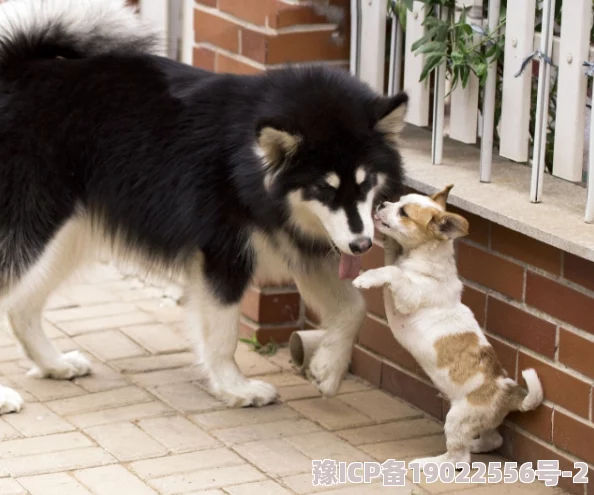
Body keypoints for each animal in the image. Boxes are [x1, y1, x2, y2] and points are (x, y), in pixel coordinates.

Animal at [0, 0, 404, 410]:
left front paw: (328, 368)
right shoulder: (225, 253)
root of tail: (17, 67)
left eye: (365, 182)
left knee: (20, 306)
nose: (362, 245)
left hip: (64, 236)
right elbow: (223, 333)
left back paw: (53, 363)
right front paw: (235, 388)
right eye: (324, 188)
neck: (246, 163)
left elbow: (354, 308)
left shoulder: (302, 244)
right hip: (32, 225)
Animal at [352, 185, 540, 468]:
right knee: (492, 440)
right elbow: (391, 259)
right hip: (483, 422)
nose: (382, 203)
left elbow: (393, 272)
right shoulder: (397, 261)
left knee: (458, 458)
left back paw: (431, 462)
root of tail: (507, 393)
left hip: (457, 419)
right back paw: (477, 445)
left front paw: (366, 278)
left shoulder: (408, 296)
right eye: (398, 200)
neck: (420, 258)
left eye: (403, 212)